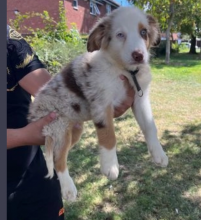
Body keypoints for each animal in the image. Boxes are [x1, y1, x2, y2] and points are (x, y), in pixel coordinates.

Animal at [28, 6, 169, 202]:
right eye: (120, 35)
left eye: (143, 32)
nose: (139, 55)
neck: (123, 70)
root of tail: (33, 113)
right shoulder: (102, 103)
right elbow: (109, 135)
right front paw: (110, 167)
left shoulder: (140, 99)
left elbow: (150, 127)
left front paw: (159, 154)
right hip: (58, 126)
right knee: (58, 160)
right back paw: (68, 189)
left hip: (74, 131)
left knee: (57, 156)